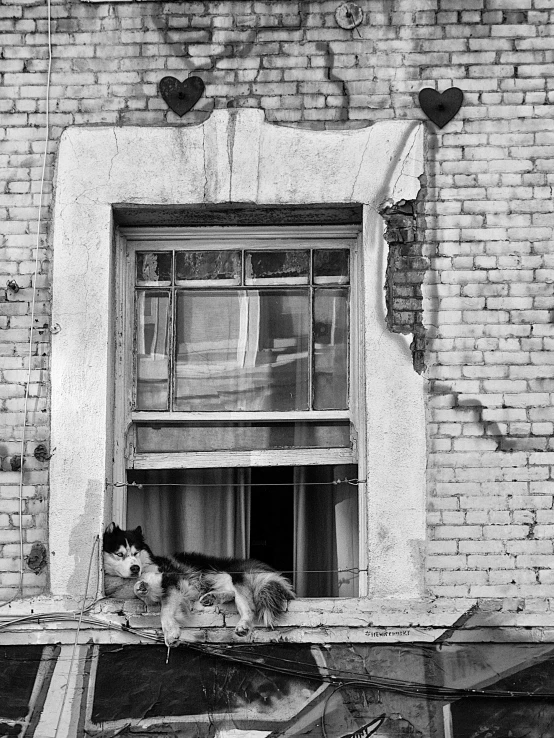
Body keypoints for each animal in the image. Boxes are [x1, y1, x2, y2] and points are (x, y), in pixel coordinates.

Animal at [102, 524, 296, 644]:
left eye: (136, 552)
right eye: (119, 554)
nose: (135, 568)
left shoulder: (173, 579)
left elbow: (165, 609)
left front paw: (171, 633)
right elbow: (144, 593)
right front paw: (142, 588)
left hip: (234, 575)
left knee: (248, 606)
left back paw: (243, 625)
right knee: (231, 593)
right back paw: (211, 597)